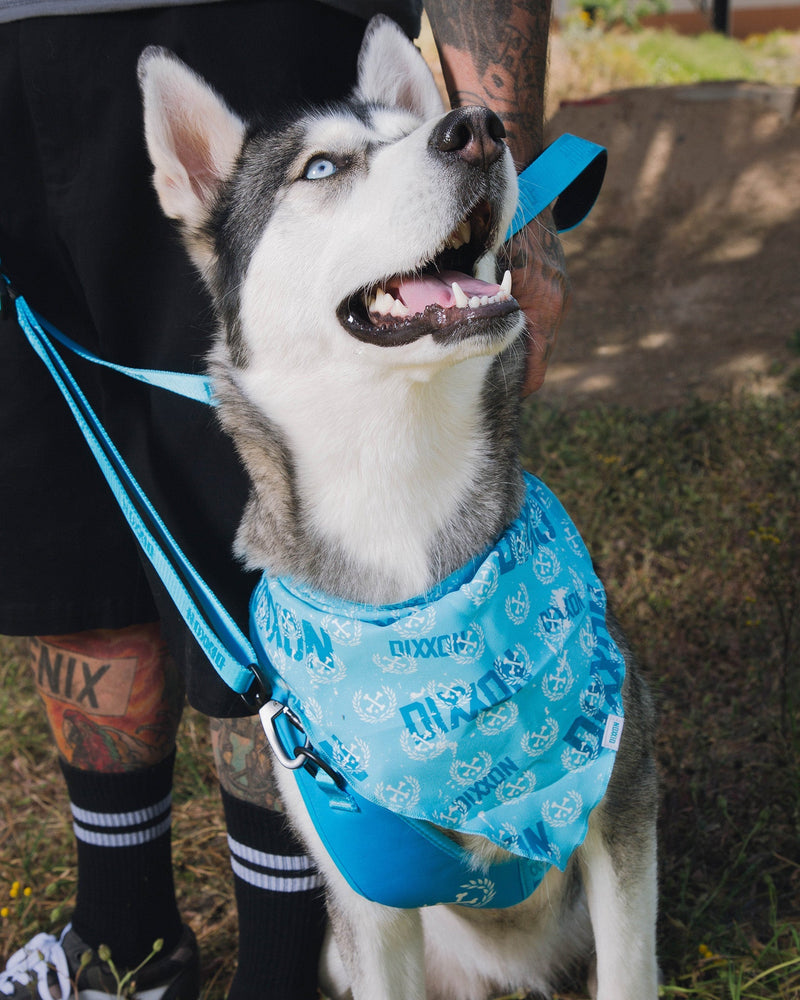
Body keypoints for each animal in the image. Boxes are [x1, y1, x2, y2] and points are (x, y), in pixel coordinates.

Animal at [141, 15, 660, 1000]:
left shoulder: (620, 811)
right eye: (322, 168)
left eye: (415, 129)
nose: (478, 129)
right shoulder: (367, 901)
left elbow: (630, 971)